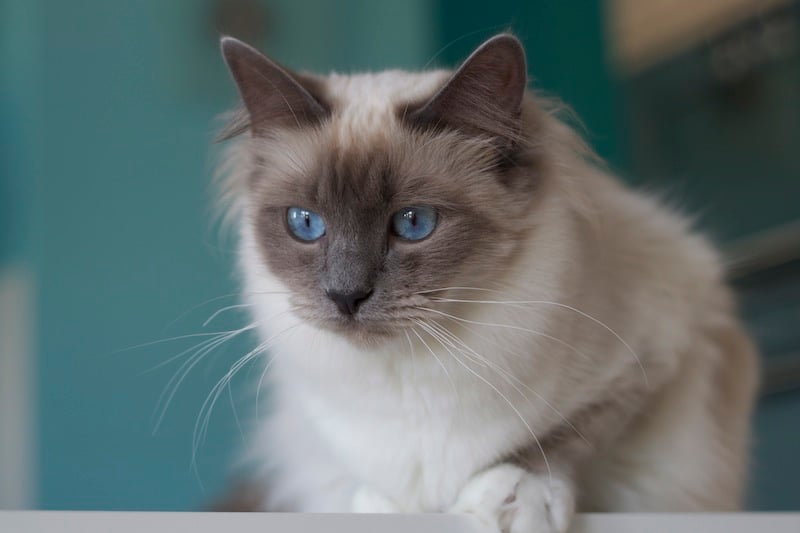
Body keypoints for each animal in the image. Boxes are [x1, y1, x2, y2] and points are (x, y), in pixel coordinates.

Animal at [216, 34, 760, 532]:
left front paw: (512, 497)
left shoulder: (653, 361)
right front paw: (383, 508)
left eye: (413, 223)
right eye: (305, 223)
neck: (411, 373)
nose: (345, 296)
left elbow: (560, 437)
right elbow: (362, 482)